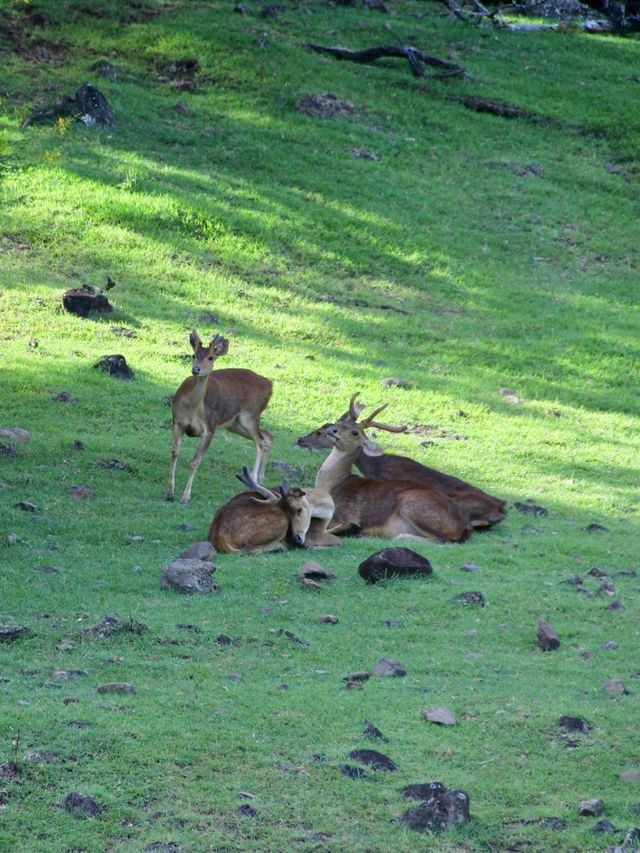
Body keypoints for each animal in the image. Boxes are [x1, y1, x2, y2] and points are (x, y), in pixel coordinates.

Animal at [165, 332, 272, 506]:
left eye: (210, 357)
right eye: (194, 355)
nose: (196, 369)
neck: (192, 409)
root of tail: (270, 385)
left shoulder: (210, 427)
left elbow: (196, 461)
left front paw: (185, 497)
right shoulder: (177, 422)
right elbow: (175, 453)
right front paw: (170, 492)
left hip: (251, 414)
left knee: (261, 442)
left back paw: (253, 481)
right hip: (235, 424)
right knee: (269, 436)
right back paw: (261, 479)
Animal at [312, 396, 472, 544]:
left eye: (354, 432)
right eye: (340, 423)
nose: (332, 430)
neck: (332, 487)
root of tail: (464, 526)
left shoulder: (345, 513)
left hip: (412, 504)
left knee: (442, 540)